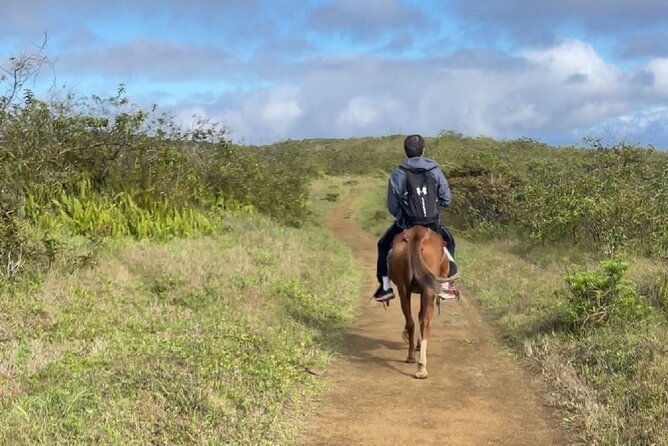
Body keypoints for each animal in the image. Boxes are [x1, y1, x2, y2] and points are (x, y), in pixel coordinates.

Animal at [389, 225, 448, 379]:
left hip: (404, 289)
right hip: (428, 290)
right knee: (424, 322)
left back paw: (413, 359)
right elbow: (422, 315)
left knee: (412, 321)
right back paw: (421, 366)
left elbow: (418, 315)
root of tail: (418, 232)